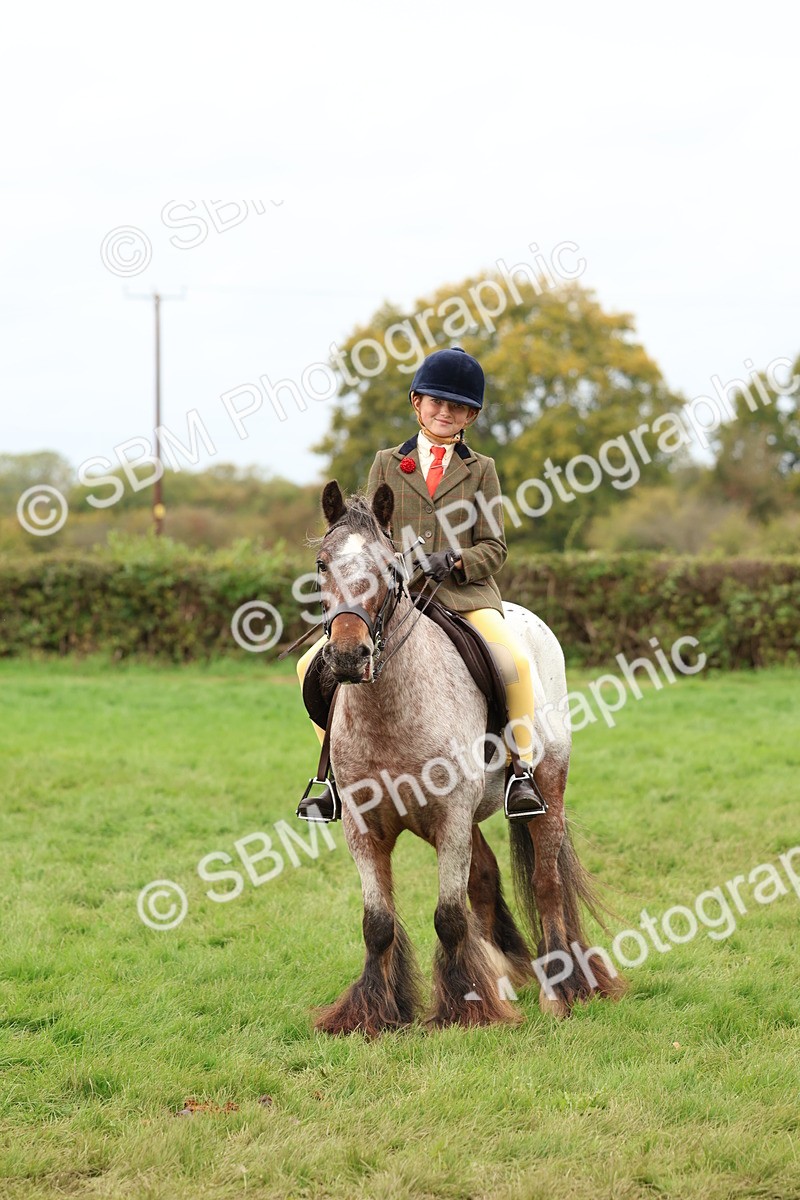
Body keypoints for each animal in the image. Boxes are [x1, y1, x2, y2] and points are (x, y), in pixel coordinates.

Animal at [307, 479, 623, 1034]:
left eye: (389, 567)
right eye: (323, 564)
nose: (347, 657)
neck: (390, 710)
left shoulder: (451, 817)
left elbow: (449, 916)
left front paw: (465, 1009)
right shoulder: (364, 826)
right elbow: (377, 922)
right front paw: (372, 1015)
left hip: (547, 786)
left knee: (545, 882)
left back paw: (559, 991)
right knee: (485, 879)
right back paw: (505, 975)